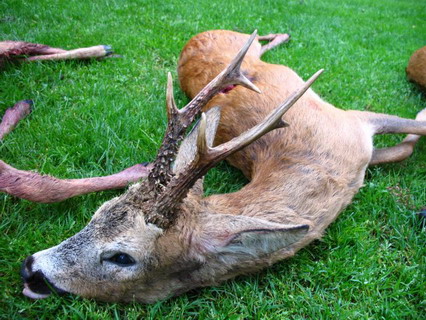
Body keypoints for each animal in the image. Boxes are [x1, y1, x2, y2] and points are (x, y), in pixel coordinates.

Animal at [13, 30, 426, 302]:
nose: (30, 268)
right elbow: (405, 147)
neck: (326, 169)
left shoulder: (352, 122)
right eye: (95, 215)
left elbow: (413, 133)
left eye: (122, 257)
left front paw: (419, 113)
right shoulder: (353, 131)